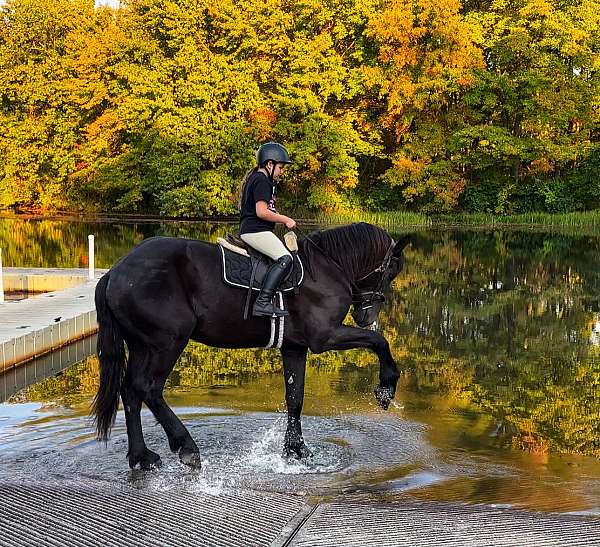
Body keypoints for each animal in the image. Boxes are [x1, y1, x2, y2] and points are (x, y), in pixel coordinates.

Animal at [94, 223, 410, 470]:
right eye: (390, 272)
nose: (366, 316)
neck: (327, 268)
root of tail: (115, 271)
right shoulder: (325, 337)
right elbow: (379, 341)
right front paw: (386, 387)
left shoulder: (294, 347)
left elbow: (295, 398)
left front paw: (295, 450)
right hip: (167, 342)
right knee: (148, 389)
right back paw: (186, 447)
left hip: (142, 345)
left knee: (130, 391)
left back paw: (141, 456)